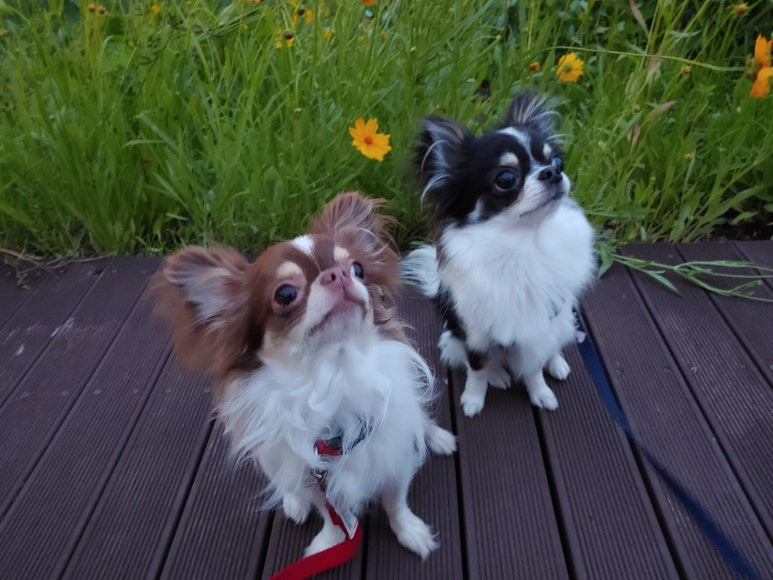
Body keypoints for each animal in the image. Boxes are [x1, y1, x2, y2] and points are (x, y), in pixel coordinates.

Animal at [154, 192, 456, 560]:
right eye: (285, 294)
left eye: (358, 269)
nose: (338, 274)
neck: (335, 375)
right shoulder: (314, 477)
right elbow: (328, 512)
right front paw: (328, 542)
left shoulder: (393, 458)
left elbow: (396, 500)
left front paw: (411, 531)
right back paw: (292, 501)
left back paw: (437, 437)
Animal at [401, 93, 596, 417]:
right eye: (506, 179)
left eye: (557, 161)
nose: (553, 172)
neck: (525, 244)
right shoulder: (475, 332)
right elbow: (478, 367)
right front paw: (473, 398)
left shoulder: (538, 328)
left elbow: (533, 368)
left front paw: (541, 393)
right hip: (453, 337)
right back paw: (498, 374)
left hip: (563, 319)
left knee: (556, 342)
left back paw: (556, 362)